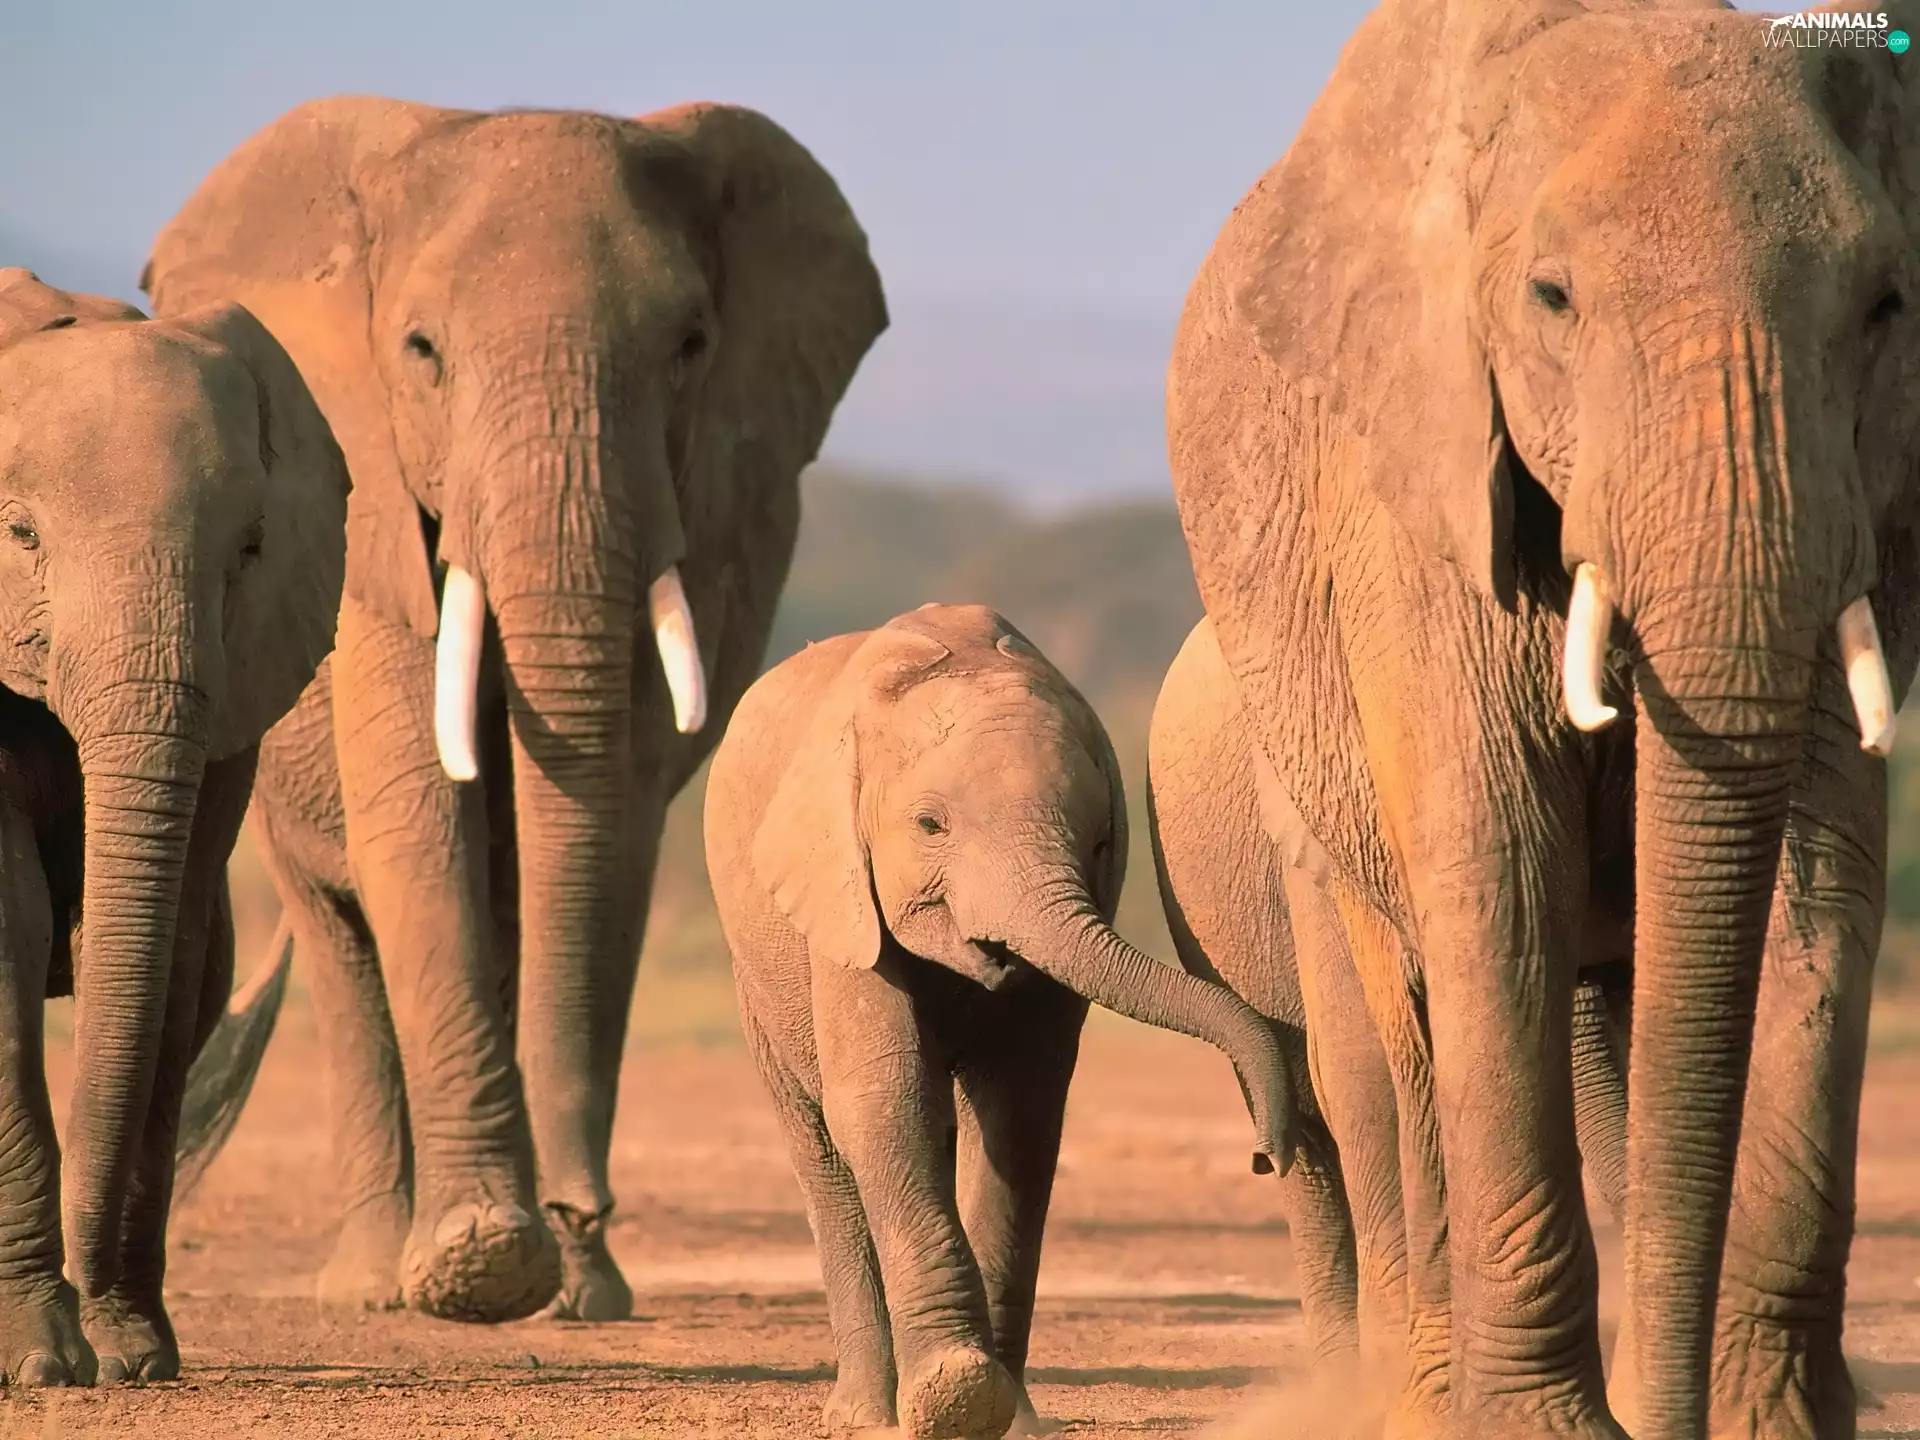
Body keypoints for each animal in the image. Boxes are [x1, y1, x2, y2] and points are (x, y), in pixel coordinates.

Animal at [0, 270, 347, 1383]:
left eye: (249, 548)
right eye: (21, 535)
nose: (100, 1352)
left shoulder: (247, 669)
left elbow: (179, 948)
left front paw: (131, 1354)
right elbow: (11, 928)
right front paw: (46, 1364)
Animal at [142, 97, 888, 1323]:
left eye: (690, 346)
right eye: (421, 353)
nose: (584, 1207)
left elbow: (613, 827)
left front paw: (572, 1283)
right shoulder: (371, 511)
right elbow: (414, 815)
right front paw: (481, 1267)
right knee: (342, 944)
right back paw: (373, 1284)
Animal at [704, 603, 1302, 1440]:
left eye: (1100, 840)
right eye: (930, 826)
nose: (1264, 1157)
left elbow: (1019, 1115)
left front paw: (1001, 1416)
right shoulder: (842, 898)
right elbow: (886, 1106)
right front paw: (954, 1394)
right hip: (754, 968)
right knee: (820, 1147)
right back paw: (863, 1414)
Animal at [1165, 2, 1920, 1436]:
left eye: (1885, 307)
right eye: (1552, 300)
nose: (1669, 1422)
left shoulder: (1880, 499)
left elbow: (1816, 885)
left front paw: (1771, 1420)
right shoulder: (1413, 478)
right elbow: (1499, 857)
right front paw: (1544, 1427)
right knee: (1393, 1043)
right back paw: (1417, 1396)